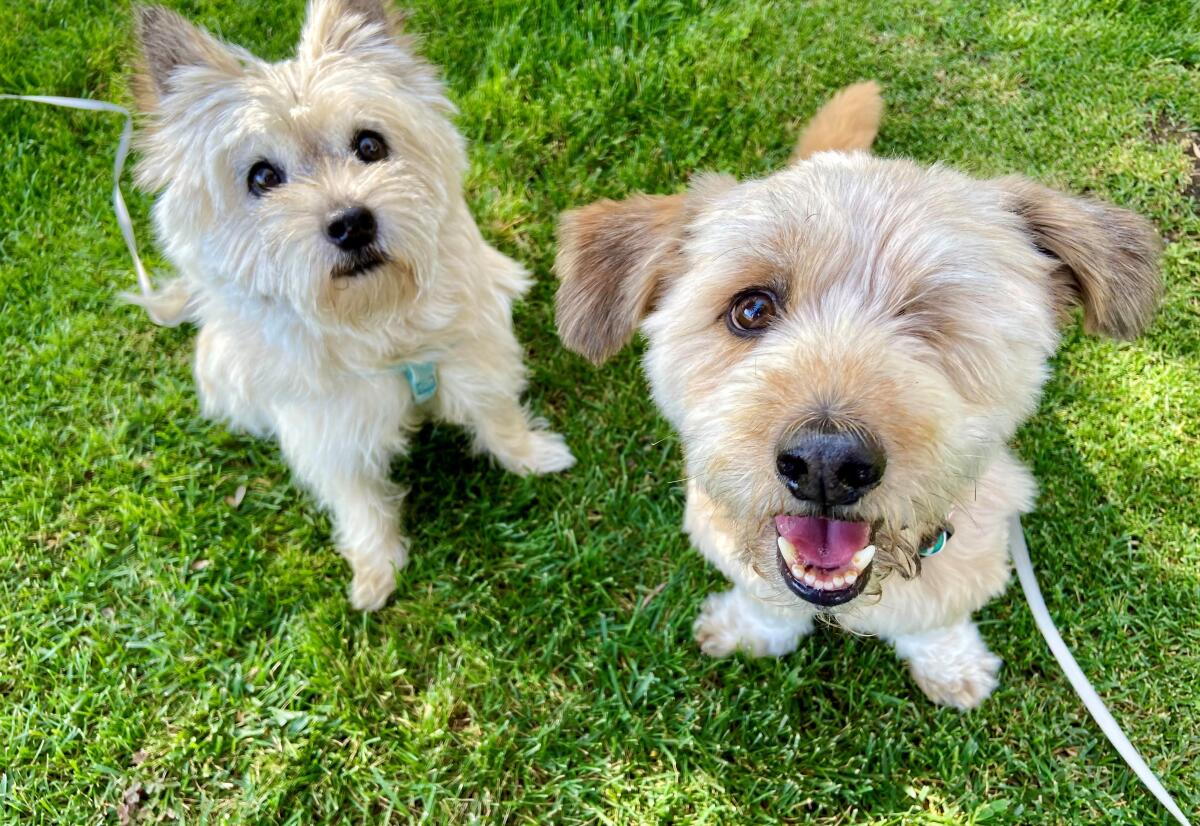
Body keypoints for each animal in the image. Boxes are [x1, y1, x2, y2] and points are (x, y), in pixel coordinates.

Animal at [132, 1, 576, 612]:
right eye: (262, 177)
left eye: (370, 145)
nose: (351, 222)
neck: (379, 324)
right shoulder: (329, 433)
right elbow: (358, 501)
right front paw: (375, 569)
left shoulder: (474, 356)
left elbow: (498, 416)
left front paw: (532, 456)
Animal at [554, 80, 1161, 705]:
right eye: (751, 309)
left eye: (927, 319)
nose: (826, 464)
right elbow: (765, 599)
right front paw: (750, 630)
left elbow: (937, 618)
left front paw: (952, 666)